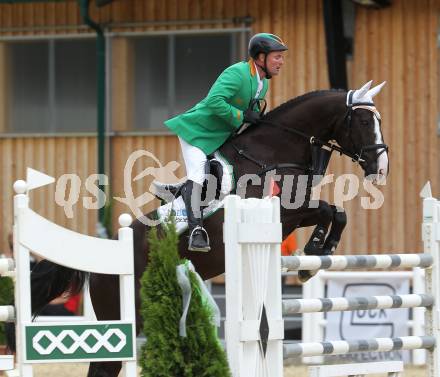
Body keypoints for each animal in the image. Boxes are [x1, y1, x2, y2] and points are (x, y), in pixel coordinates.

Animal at [31, 83, 388, 374]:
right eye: (364, 122)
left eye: (379, 121)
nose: (380, 168)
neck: (272, 152)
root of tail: (101, 257)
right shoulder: (283, 211)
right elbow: (327, 210)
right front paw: (313, 254)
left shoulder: (294, 216)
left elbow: (336, 212)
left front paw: (319, 252)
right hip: (121, 316)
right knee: (105, 365)